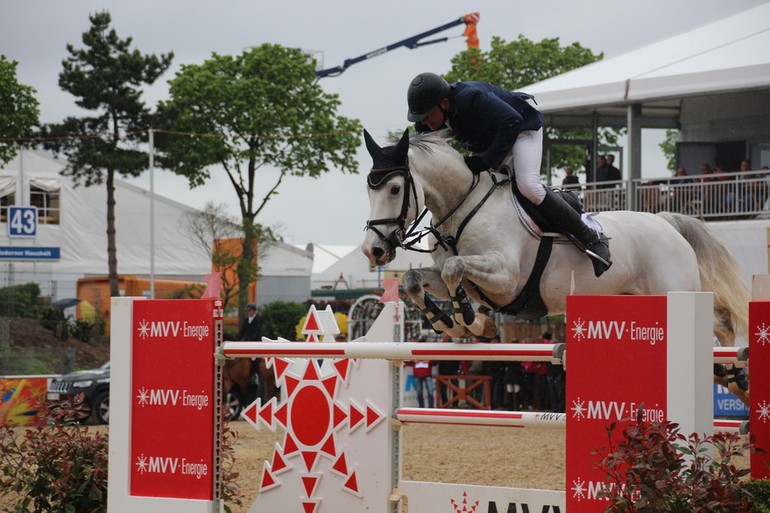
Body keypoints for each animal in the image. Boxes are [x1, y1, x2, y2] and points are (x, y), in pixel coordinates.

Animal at [362, 128, 752, 396]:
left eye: (395, 189)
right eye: (368, 189)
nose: (373, 251)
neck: (464, 208)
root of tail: (667, 222)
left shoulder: (505, 278)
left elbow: (453, 268)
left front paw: (469, 321)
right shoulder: (464, 279)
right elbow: (416, 279)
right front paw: (452, 323)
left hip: (674, 292)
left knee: (720, 323)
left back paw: (736, 371)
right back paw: (732, 377)